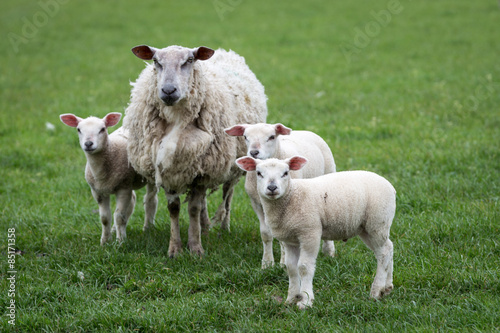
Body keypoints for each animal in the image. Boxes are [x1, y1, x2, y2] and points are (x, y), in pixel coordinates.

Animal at [60, 111, 158, 244]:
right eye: (78, 130)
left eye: (102, 129)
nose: (88, 144)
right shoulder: (97, 191)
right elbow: (105, 218)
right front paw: (105, 241)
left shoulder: (123, 188)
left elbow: (119, 216)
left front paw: (121, 242)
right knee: (133, 201)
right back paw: (114, 230)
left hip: (151, 174)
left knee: (150, 201)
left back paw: (147, 229)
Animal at [122, 44, 268, 256]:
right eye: (156, 61)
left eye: (189, 60)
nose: (168, 90)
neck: (176, 118)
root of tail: (224, 52)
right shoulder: (170, 170)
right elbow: (174, 208)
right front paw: (175, 249)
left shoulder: (203, 172)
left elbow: (193, 208)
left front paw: (196, 248)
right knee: (205, 203)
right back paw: (204, 227)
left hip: (231, 166)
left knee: (227, 196)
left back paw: (223, 228)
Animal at [226, 122, 336, 268]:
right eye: (245, 137)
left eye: (272, 137)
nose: (254, 153)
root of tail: (305, 131)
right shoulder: (256, 204)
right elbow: (266, 234)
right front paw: (267, 263)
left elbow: (284, 239)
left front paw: (283, 263)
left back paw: (329, 251)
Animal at [236, 156, 396, 308]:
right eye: (258, 173)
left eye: (286, 173)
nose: (272, 187)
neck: (291, 197)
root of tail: (391, 187)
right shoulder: (290, 240)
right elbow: (291, 268)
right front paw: (291, 298)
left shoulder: (310, 232)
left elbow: (304, 267)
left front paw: (305, 301)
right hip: (366, 228)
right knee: (388, 248)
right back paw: (387, 287)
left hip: (377, 222)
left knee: (383, 253)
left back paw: (376, 291)